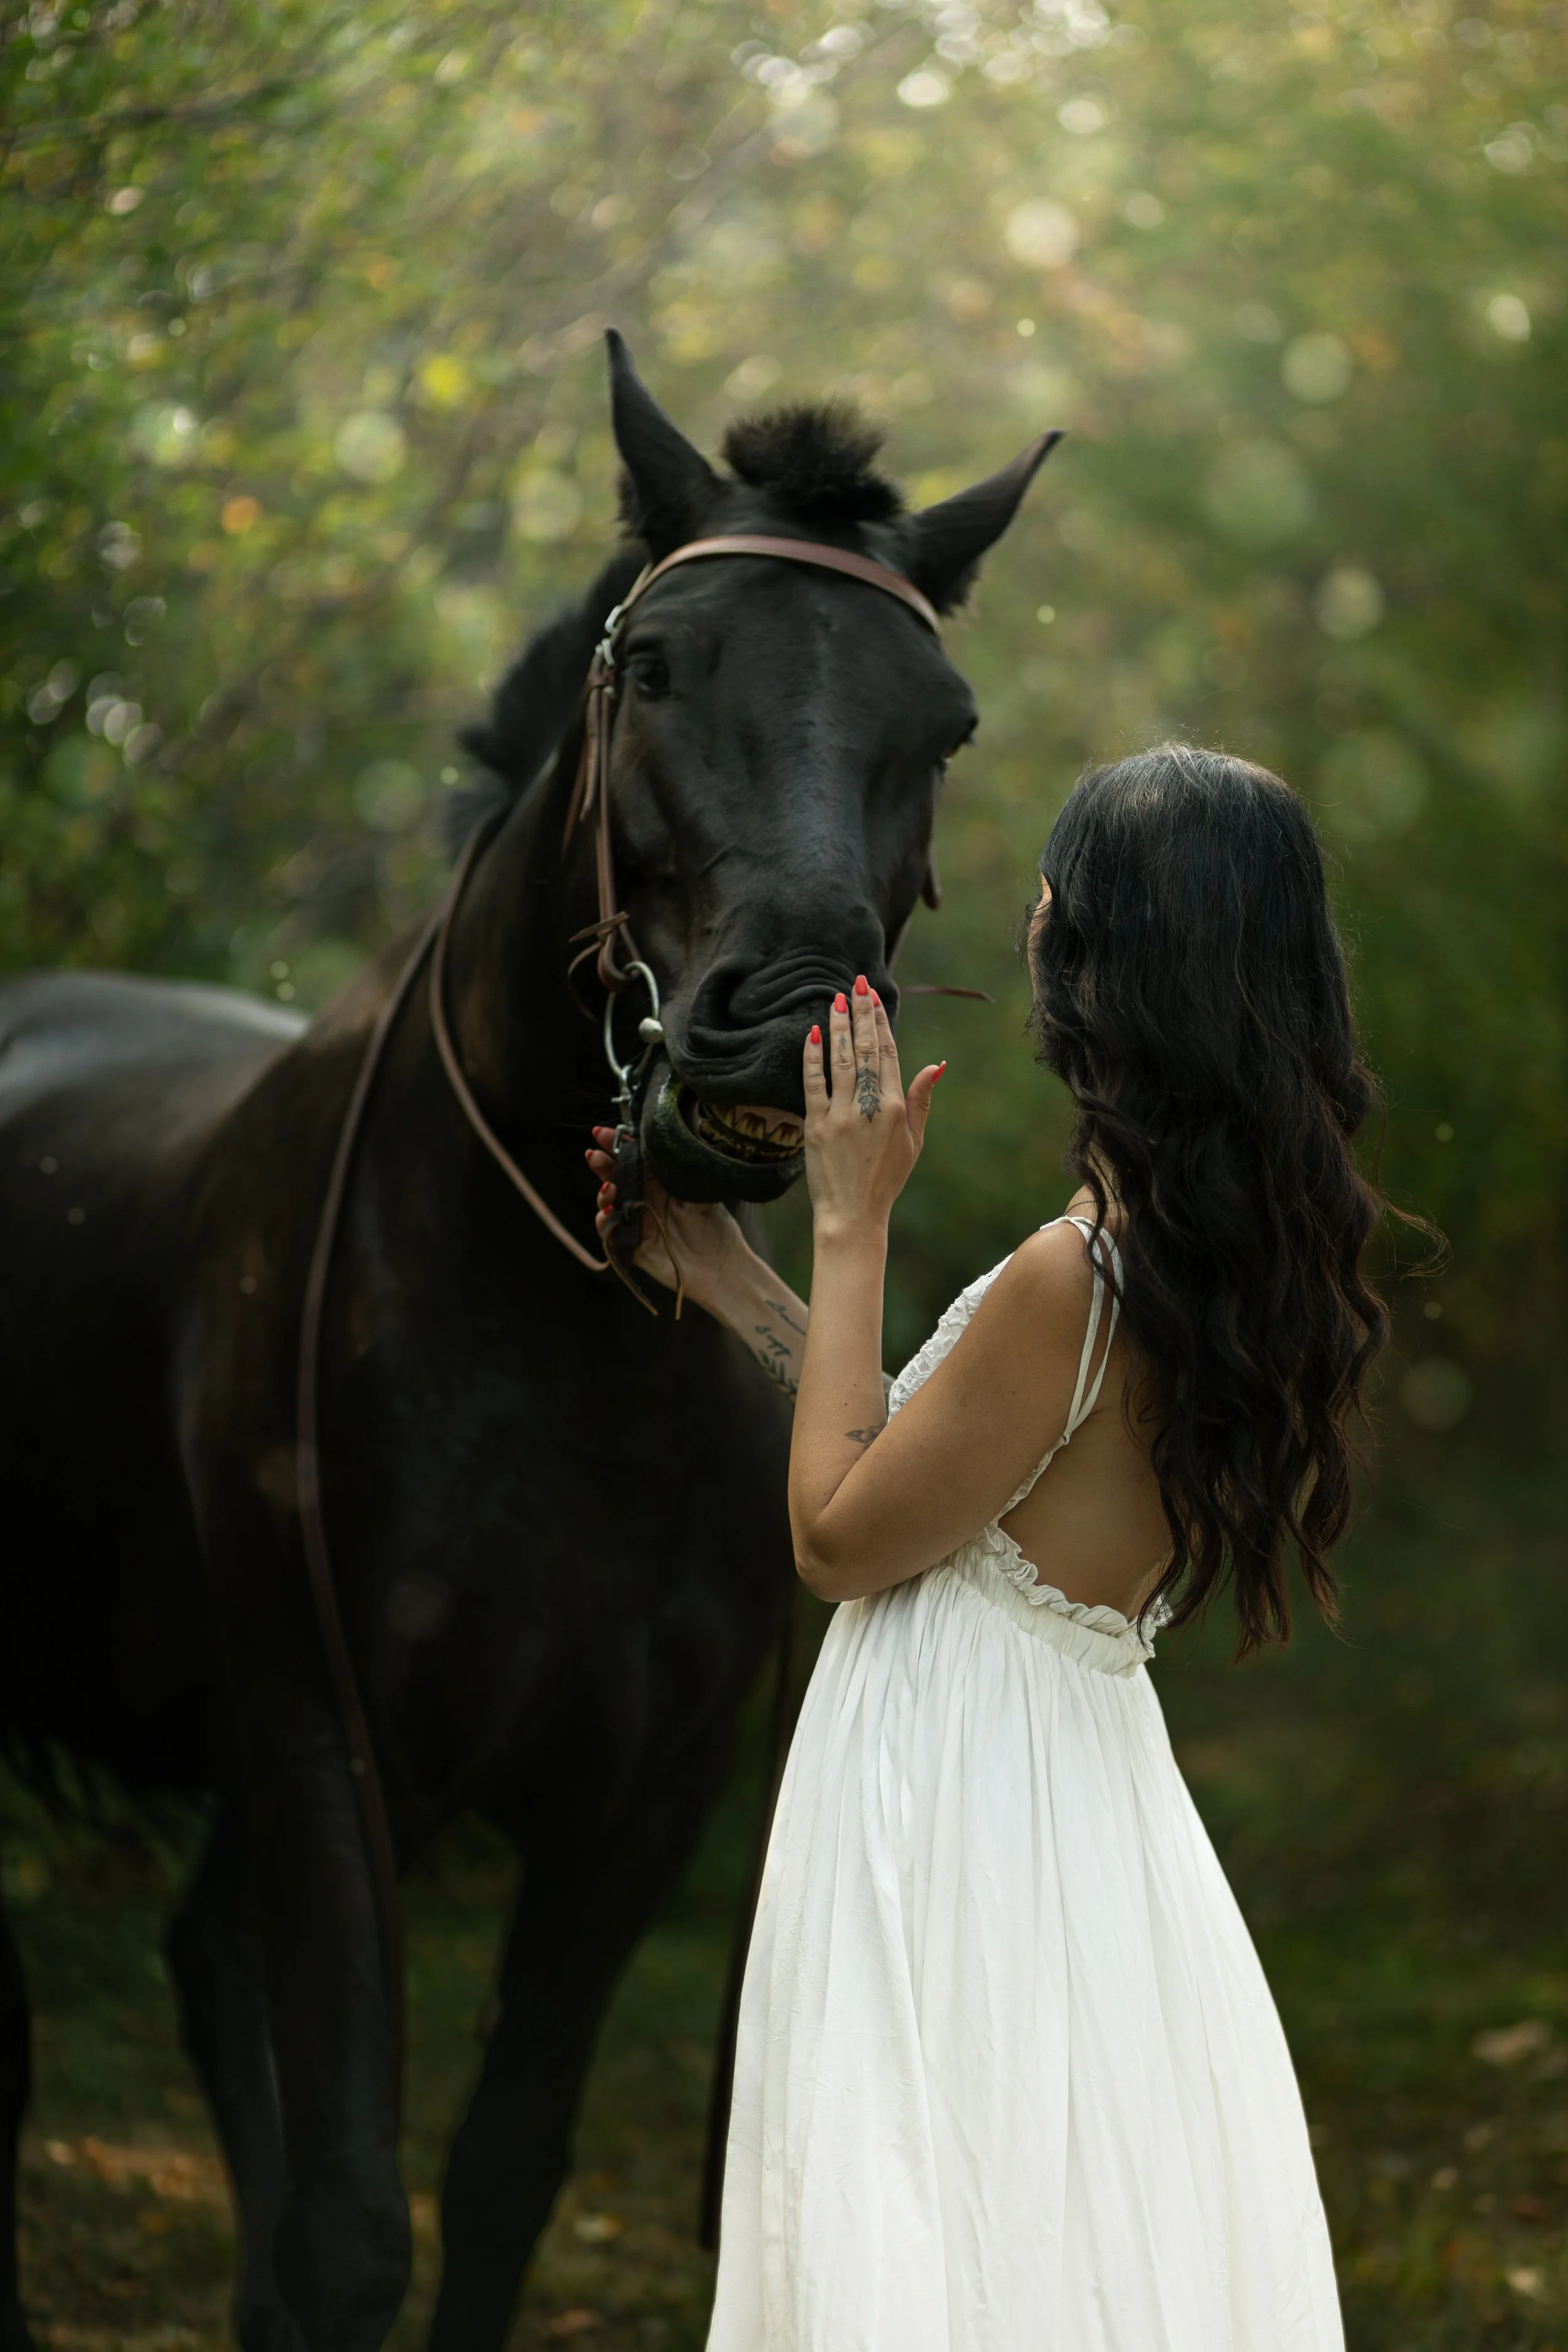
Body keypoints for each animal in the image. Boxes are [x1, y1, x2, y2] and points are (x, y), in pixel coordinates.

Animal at [0, 331, 1054, 2352]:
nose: (775, 1039)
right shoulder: (329, 1742)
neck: (558, 1342)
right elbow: (354, 2219)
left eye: (952, 723)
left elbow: (497, 2170)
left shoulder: (635, 1794)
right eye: (654, 667)